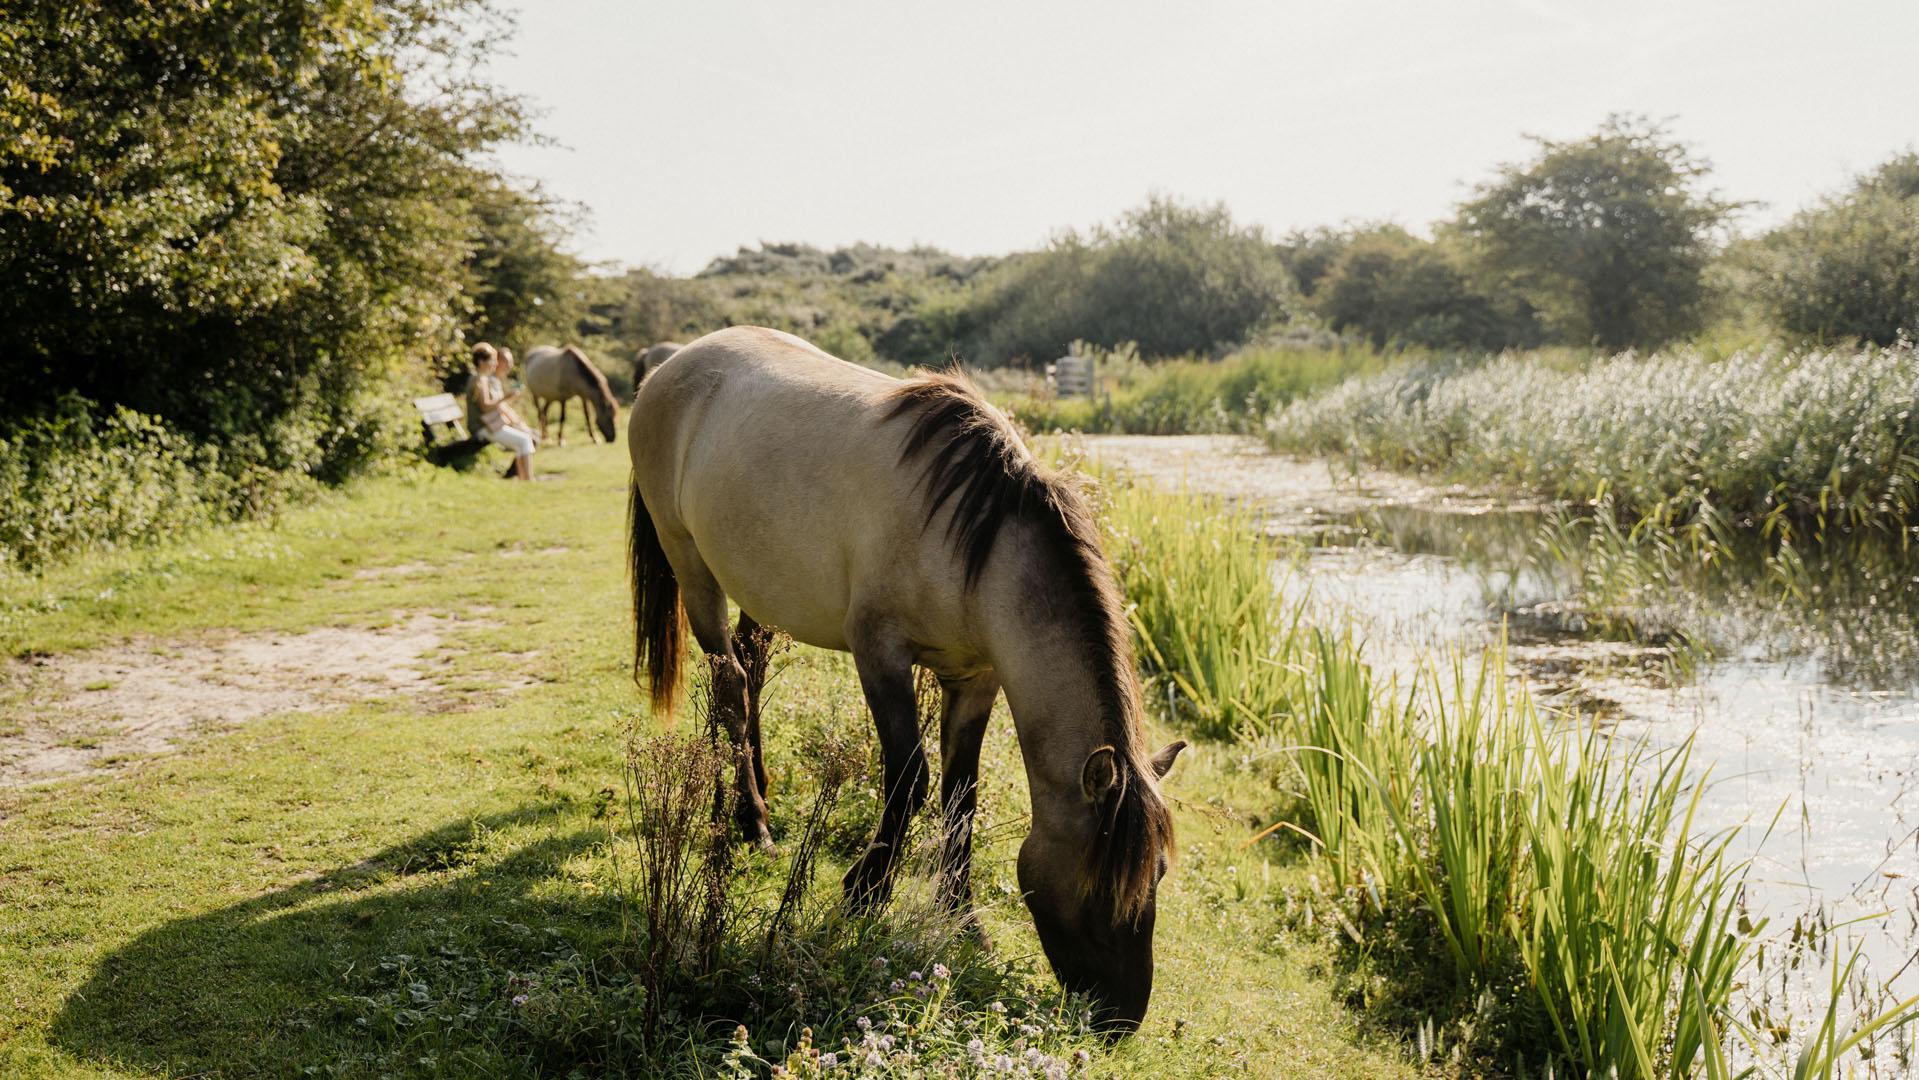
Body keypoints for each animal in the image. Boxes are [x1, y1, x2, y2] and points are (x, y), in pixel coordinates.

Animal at [625, 328, 1182, 1028]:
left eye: (1157, 875)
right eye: (1096, 884)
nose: (1120, 1019)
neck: (976, 547)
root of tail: (671, 365)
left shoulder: (975, 680)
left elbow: (960, 796)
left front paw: (964, 921)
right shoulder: (879, 654)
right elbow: (910, 777)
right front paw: (865, 891)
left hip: (754, 585)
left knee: (747, 673)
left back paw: (742, 796)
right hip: (692, 567)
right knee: (728, 686)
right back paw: (753, 822)